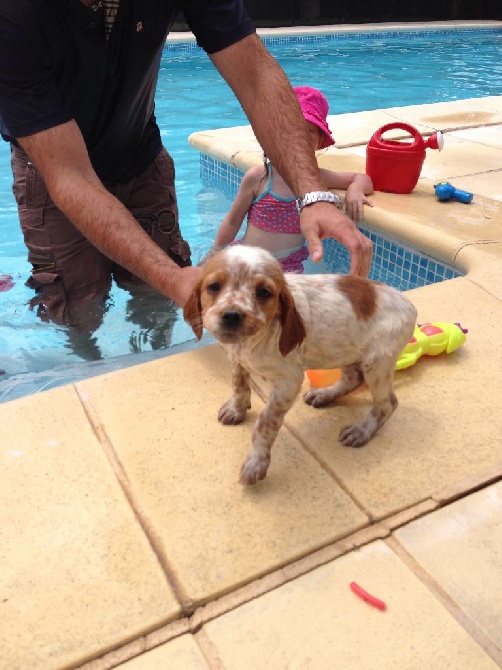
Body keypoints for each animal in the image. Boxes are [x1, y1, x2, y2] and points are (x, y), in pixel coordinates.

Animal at [183, 247, 416, 488]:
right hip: (342, 350)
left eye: (264, 292)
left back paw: (361, 430)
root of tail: (408, 304)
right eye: (213, 287)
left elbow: (264, 423)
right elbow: (239, 385)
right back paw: (324, 394)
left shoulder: (289, 382)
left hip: (376, 364)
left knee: (387, 403)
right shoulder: (237, 360)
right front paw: (236, 409)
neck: (253, 341)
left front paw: (256, 463)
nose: (231, 315)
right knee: (353, 378)